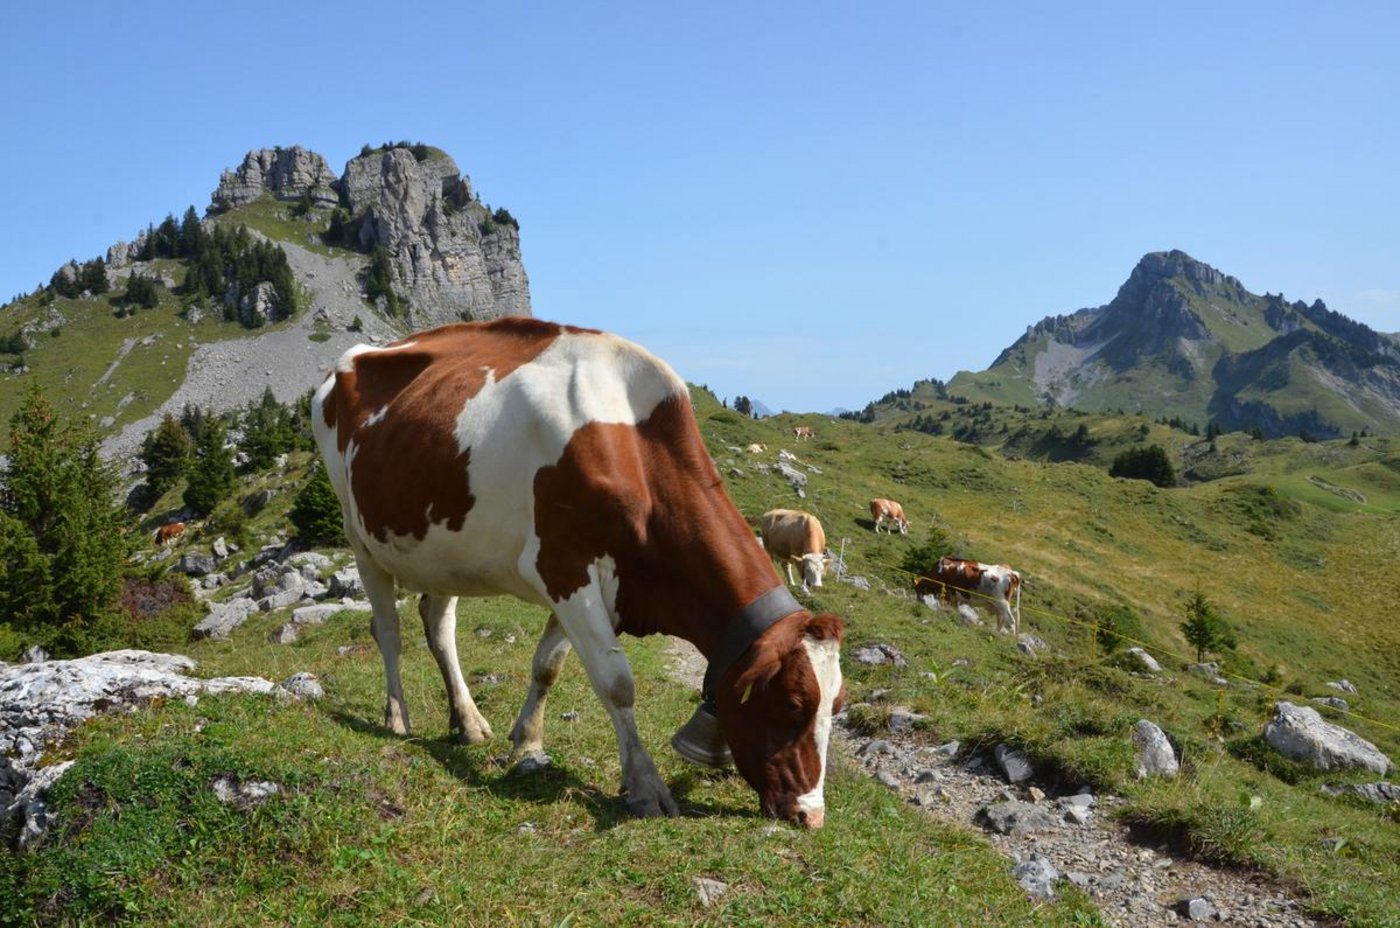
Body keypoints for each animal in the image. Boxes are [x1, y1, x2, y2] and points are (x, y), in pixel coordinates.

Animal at [312, 318, 845, 827]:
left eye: (837, 706)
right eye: (793, 703)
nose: (811, 815)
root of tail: (354, 358)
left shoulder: (592, 587)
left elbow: (548, 665)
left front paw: (527, 741)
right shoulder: (564, 568)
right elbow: (616, 682)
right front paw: (645, 785)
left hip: (446, 550)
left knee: (439, 624)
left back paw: (468, 721)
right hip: (358, 533)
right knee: (388, 629)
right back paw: (397, 716)